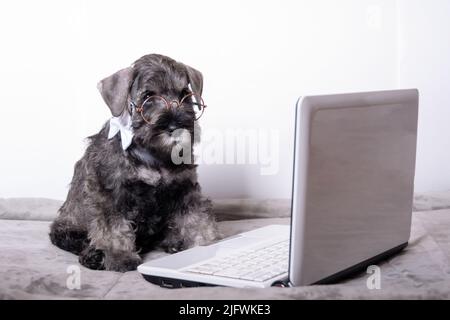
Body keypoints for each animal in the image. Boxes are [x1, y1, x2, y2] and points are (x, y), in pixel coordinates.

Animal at [49, 53, 218, 272]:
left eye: (185, 94)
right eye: (147, 97)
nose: (176, 126)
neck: (154, 155)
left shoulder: (185, 189)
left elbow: (196, 218)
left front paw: (206, 242)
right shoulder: (110, 193)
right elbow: (113, 229)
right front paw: (121, 257)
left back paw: (174, 242)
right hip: (67, 227)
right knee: (78, 240)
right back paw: (93, 256)